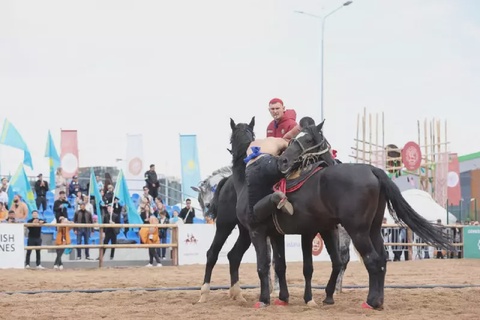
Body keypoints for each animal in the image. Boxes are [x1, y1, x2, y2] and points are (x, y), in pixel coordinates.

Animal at [278, 121, 454, 308]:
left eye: (309, 140)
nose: (283, 160)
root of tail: (372, 169)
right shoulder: (330, 229)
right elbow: (338, 261)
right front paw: (329, 293)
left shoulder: (320, 231)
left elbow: (321, 264)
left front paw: (319, 295)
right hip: (373, 230)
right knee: (382, 259)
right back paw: (377, 299)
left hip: (358, 232)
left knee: (372, 260)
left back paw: (371, 301)